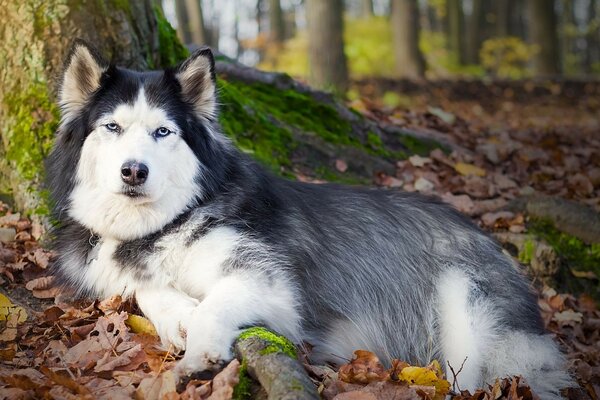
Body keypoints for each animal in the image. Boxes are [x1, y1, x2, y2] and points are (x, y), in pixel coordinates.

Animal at [47, 40, 572, 396]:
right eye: (112, 127)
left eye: (163, 132)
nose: (134, 171)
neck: (165, 224)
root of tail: (490, 238)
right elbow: (144, 288)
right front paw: (178, 314)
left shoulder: (271, 284)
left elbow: (216, 302)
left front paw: (199, 349)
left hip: (470, 318)